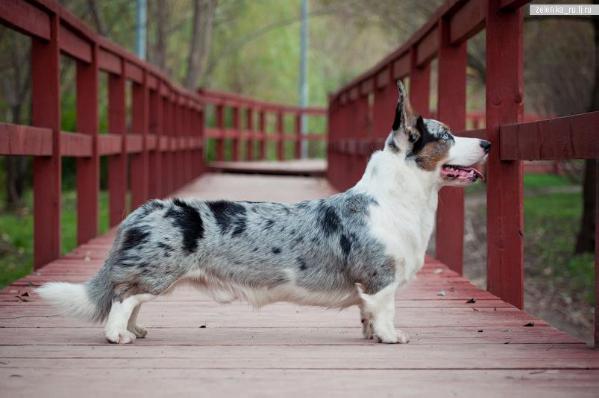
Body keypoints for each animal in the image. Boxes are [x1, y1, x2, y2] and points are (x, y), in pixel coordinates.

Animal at [37, 81, 490, 346]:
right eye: (447, 135)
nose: (486, 143)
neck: (399, 197)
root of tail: (142, 210)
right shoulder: (381, 280)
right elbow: (386, 311)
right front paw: (392, 337)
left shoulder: (370, 288)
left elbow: (366, 314)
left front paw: (371, 335)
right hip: (157, 273)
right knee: (123, 297)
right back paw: (119, 336)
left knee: (131, 300)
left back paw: (136, 330)